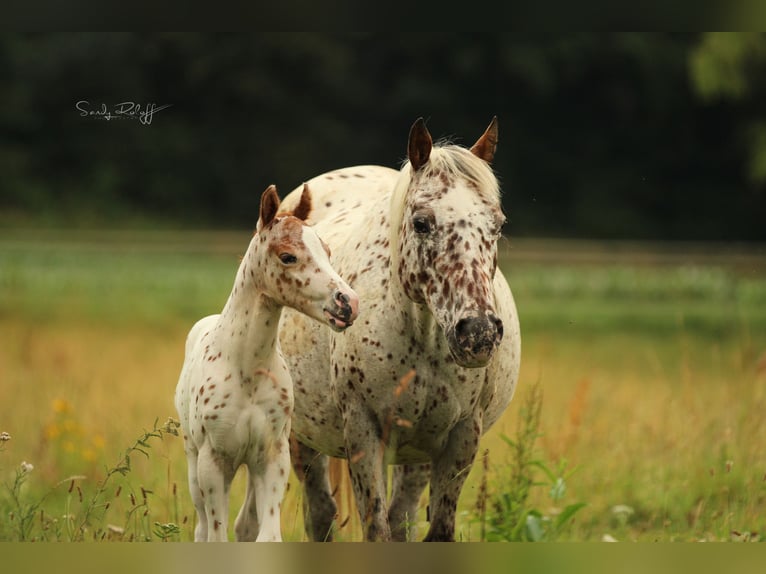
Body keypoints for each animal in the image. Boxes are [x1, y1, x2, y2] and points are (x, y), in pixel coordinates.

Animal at [174, 184, 360, 542]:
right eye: (288, 256)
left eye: (327, 251)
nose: (348, 304)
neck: (247, 369)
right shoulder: (214, 462)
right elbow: (217, 534)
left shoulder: (273, 457)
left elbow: (266, 534)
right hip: (193, 460)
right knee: (203, 527)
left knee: (246, 524)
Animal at [278, 117, 521, 541]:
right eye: (421, 222)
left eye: (497, 225)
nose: (478, 334)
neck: (423, 339)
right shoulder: (363, 433)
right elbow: (377, 528)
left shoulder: (460, 437)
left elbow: (434, 530)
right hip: (303, 437)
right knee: (321, 515)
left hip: (416, 452)